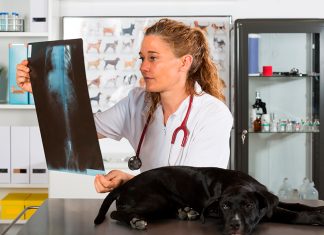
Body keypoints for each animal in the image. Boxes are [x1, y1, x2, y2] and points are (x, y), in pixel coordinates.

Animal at [94, 166, 324, 234]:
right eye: (224, 206)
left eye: (249, 205)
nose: (234, 226)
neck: (239, 182)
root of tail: (124, 185)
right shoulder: (270, 212)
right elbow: (293, 215)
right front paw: (316, 218)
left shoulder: (269, 202)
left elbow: (295, 204)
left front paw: (319, 210)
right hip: (157, 199)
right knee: (116, 212)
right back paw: (135, 220)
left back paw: (186, 212)